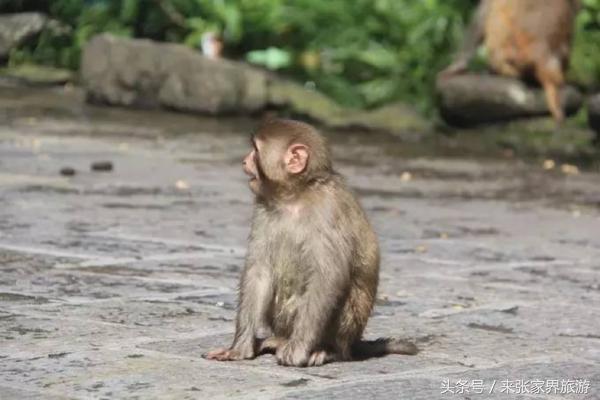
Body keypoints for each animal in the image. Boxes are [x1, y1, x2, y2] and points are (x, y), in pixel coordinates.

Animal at [203, 119, 418, 368]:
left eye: (256, 150)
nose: (245, 160)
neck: (295, 196)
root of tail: (352, 344)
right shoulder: (263, 207)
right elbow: (259, 271)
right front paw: (239, 348)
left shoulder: (328, 209)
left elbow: (328, 276)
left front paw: (299, 350)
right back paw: (278, 340)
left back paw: (327, 350)